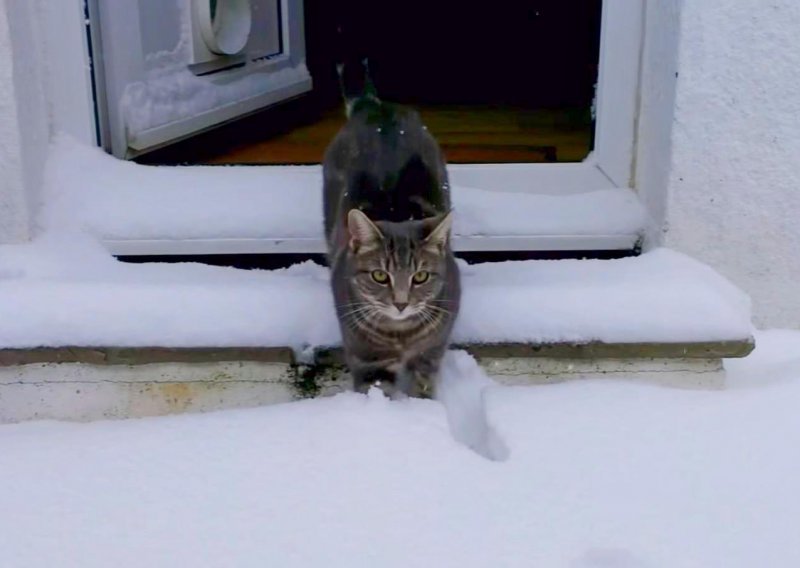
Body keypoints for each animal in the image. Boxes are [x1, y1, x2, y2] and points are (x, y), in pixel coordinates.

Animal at [324, 61, 462, 400]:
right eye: (379, 276)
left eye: (421, 276)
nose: (401, 303)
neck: (400, 336)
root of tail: (373, 105)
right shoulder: (367, 361)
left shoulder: (430, 353)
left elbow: (422, 388)